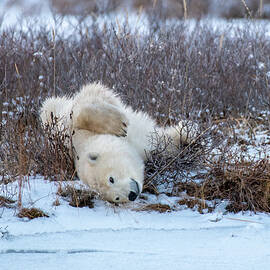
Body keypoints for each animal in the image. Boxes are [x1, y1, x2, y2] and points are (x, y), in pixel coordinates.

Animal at [39, 82, 196, 202]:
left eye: (111, 179)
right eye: (116, 198)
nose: (131, 195)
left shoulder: (70, 128)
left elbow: (83, 108)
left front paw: (119, 124)